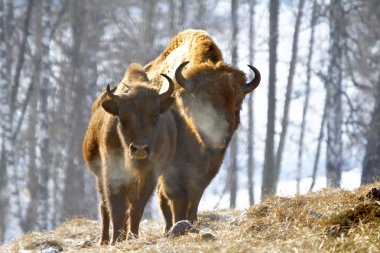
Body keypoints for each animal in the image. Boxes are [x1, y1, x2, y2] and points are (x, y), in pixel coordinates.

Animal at [82, 62, 177, 243]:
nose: (139, 148)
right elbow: (116, 209)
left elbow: (136, 209)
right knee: (104, 207)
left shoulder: (149, 177)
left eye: (155, 116)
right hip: (99, 177)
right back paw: (104, 240)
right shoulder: (112, 175)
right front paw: (116, 240)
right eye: (123, 119)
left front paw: (132, 236)